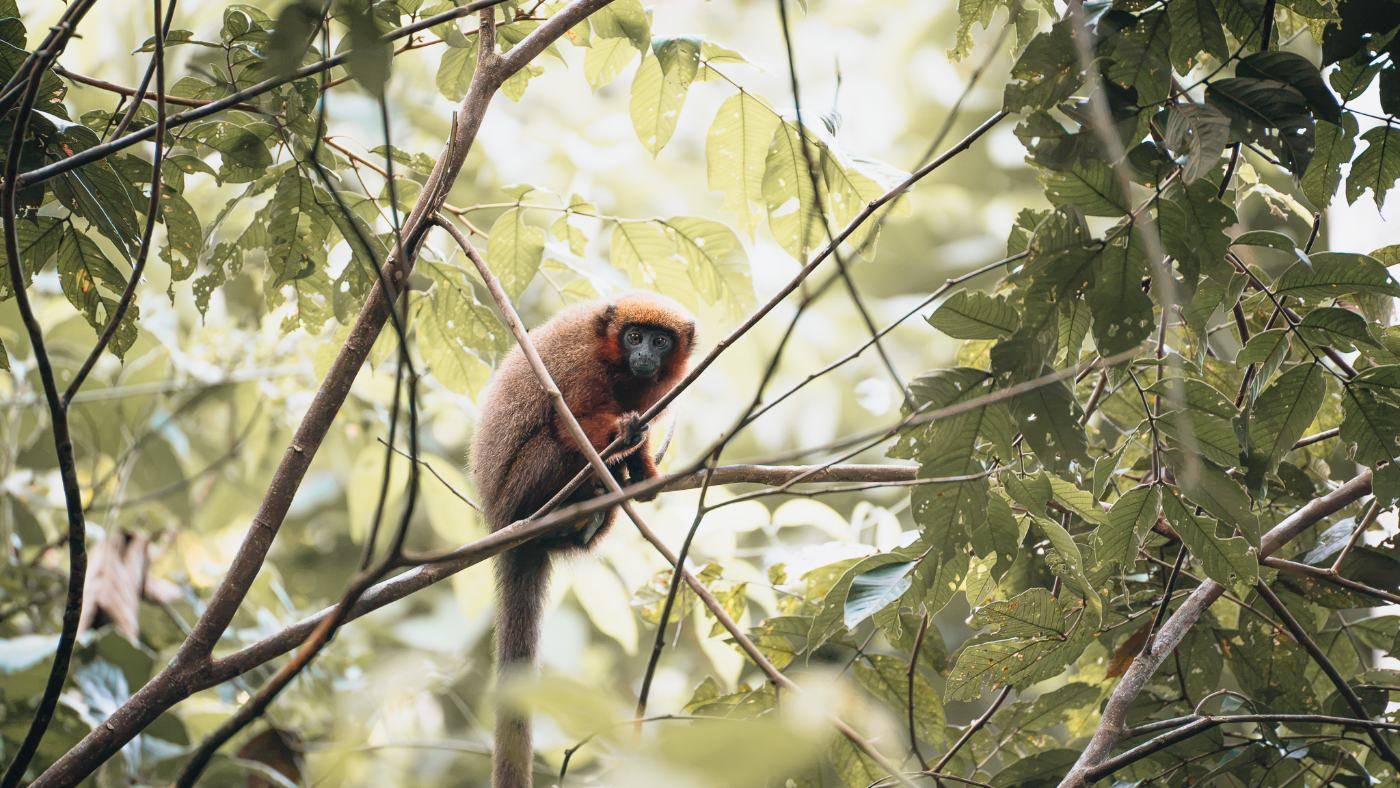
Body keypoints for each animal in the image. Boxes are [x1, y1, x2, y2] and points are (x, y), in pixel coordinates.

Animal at [470, 293, 696, 788]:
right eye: (634, 336)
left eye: (660, 340)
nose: (645, 354)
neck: (616, 364)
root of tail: (500, 523)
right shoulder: (580, 365)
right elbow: (566, 419)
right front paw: (621, 434)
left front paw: (645, 474)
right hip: (523, 486)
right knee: (557, 443)